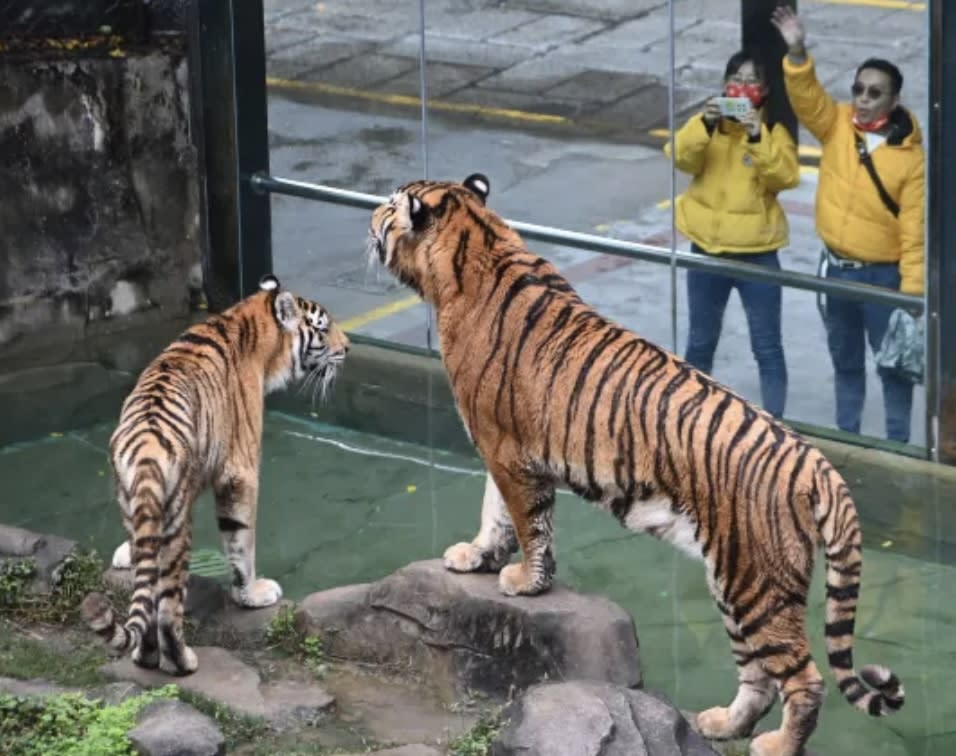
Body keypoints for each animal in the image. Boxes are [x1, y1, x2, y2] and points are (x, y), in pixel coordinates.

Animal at [82, 274, 350, 676]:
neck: (247, 320)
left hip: (133, 502)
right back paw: (183, 662)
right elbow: (242, 543)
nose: (348, 347)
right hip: (176, 528)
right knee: (166, 608)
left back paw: (145, 657)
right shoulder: (241, 472)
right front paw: (253, 594)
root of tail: (144, 448)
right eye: (323, 327)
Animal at [370, 174, 908, 756]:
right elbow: (496, 513)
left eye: (390, 205)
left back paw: (777, 745)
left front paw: (524, 580)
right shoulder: (501, 448)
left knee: (804, 679)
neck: (476, 246)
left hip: (756, 583)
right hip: (737, 582)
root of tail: (815, 463)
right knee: (759, 676)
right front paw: (478, 556)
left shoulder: (507, 449)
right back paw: (721, 724)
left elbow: (526, 521)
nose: (371, 213)